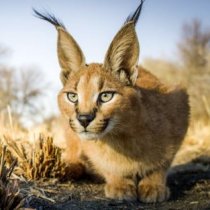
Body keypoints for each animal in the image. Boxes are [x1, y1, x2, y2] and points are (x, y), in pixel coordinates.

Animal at [34, 0, 189, 203]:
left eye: (106, 96)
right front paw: (120, 184)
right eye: (72, 96)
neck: (122, 137)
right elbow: (106, 165)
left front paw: (153, 185)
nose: (84, 119)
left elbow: (162, 162)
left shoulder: (179, 102)